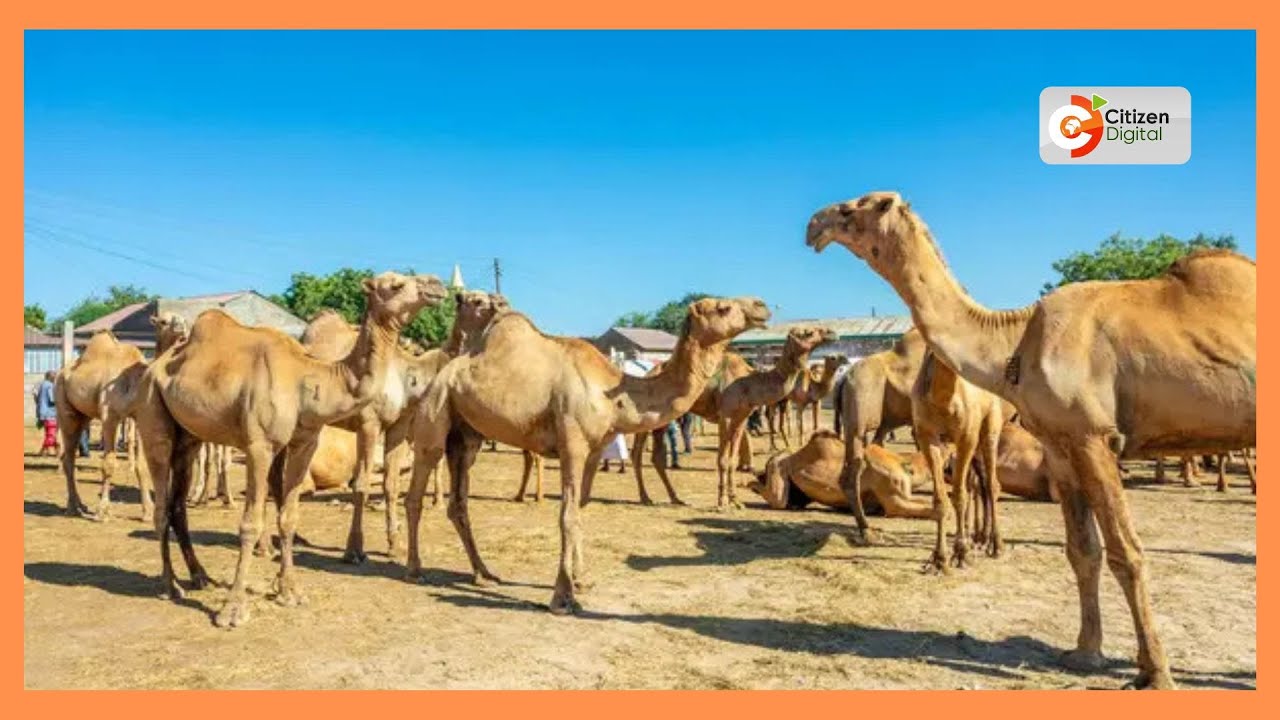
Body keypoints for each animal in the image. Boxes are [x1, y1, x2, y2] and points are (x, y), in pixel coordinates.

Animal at [54, 312, 189, 519]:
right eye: (163, 321)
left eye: (183, 318)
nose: (182, 327)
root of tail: (61, 372)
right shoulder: (110, 415)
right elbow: (108, 463)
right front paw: (102, 511)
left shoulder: (140, 418)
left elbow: (142, 465)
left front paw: (147, 511)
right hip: (64, 405)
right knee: (68, 457)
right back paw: (73, 507)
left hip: (83, 415)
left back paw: (79, 504)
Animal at [132, 272, 447, 627]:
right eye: (394, 284)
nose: (436, 286)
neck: (307, 378)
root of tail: (152, 365)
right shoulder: (259, 445)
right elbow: (249, 523)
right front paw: (233, 610)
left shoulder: (305, 443)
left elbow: (290, 516)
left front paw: (290, 592)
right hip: (153, 415)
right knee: (161, 504)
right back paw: (171, 586)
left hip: (189, 437)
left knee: (177, 505)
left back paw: (200, 576)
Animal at [626, 352, 757, 505]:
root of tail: (648, 374)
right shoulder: (725, 418)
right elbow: (722, 459)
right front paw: (722, 500)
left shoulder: (741, 419)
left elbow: (732, 460)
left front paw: (735, 500)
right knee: (636, 454)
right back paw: (645, 497)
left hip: (662, 419)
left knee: (656, 456)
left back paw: (674, 498)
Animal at [714, 326, 836, 509]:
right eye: (807, 332)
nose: (831, 332)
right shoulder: (799, 402)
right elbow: (799, 425)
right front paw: (798, 444)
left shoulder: (813, 402)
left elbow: (813, 423)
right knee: (770, 419)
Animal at [911, 351, 1009, 571]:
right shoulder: (927, 437)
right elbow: (940, 499)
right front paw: (939, 558)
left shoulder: (967, 436)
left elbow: (959, 495)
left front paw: (962, 553)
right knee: (980, 484)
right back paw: (981, 539)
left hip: (990, 424)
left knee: (991, 484)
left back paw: (996, 545)